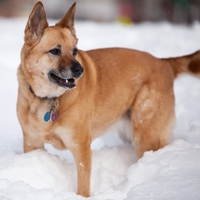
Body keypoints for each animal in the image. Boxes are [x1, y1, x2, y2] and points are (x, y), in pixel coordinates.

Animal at [17, 1, 200, 197]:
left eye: (74, 51)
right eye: (55, 51)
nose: (80, 70)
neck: (49, 98)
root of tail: (164, 63)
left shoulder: (81, 146)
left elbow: (83, 184)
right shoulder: (32, 142)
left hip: (145, 133)